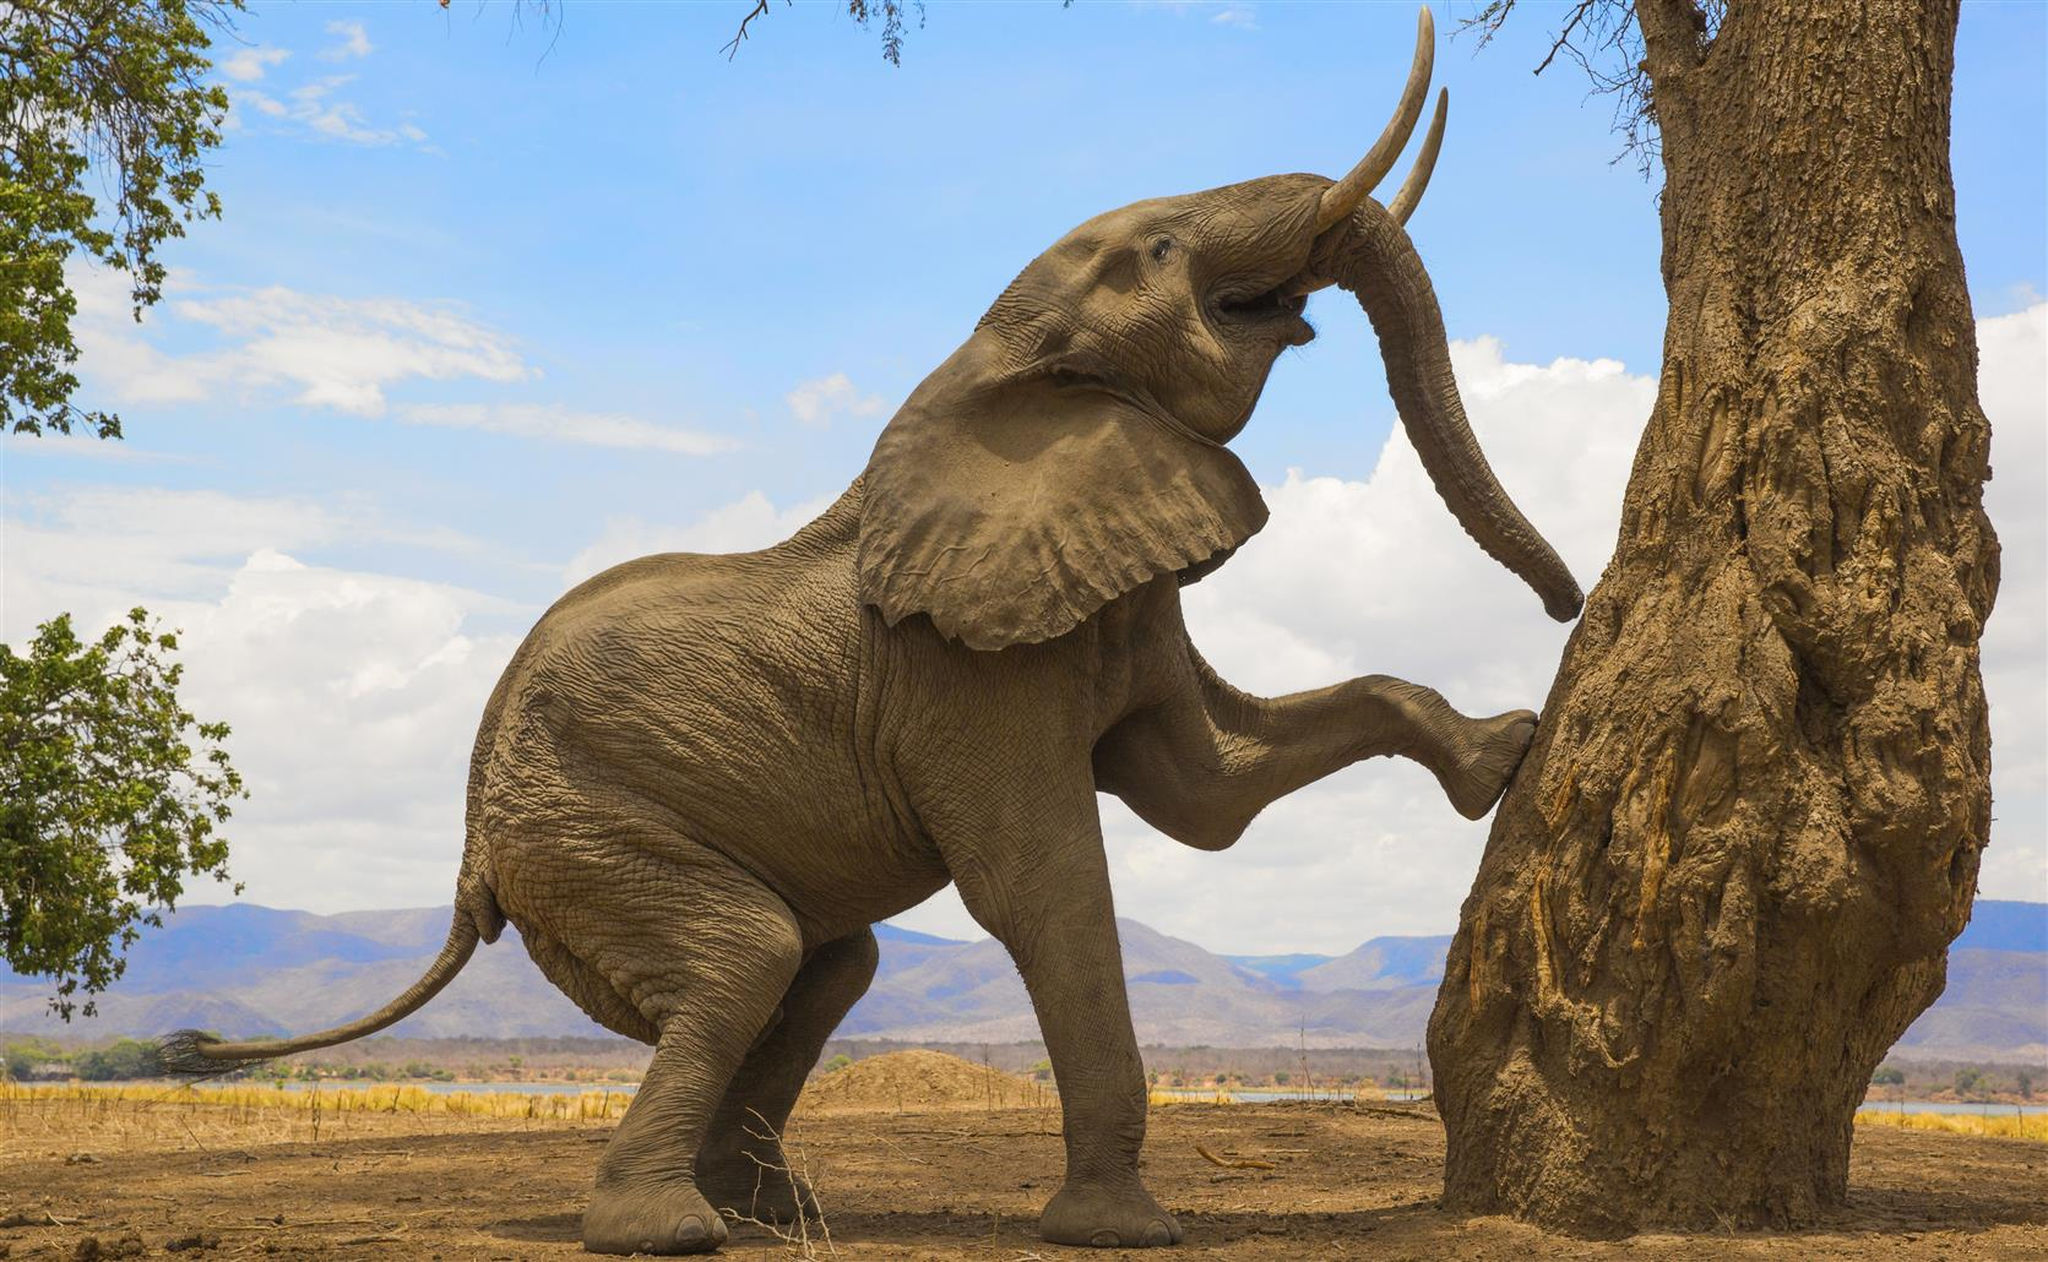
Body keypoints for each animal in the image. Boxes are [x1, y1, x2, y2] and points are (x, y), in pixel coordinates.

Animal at [163, 9, 1581, 1254]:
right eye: (1166, 247)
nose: (1566, 600)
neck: (992, 362)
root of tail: (467, 848)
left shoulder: (1105, 590)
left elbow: (1208, 792)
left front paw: (1502, 751)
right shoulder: (960, 669)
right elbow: (1046, 882)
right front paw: (1122, 1228)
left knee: (825, 967)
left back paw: (765, 1212)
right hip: (580, 826)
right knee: (747, 956)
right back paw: (669, 1229)